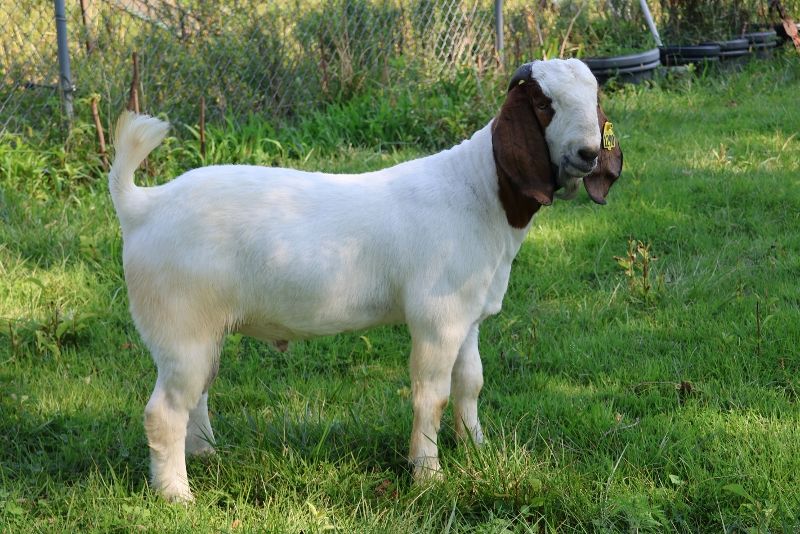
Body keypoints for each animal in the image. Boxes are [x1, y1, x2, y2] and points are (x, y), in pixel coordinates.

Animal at [109, 59, 624, 506]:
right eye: (542, 102)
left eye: (595, 98)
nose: (588, 153)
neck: (480, 192)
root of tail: (142, 206)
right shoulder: (437, 320)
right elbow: (432, 395)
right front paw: (428, 475)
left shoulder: (468, 317)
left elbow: (470, 383)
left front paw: (477, 448)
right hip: (180, 326)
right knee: (164, 411)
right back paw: (177, 495)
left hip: (205, 332)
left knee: (195, 395)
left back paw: (205, 456)